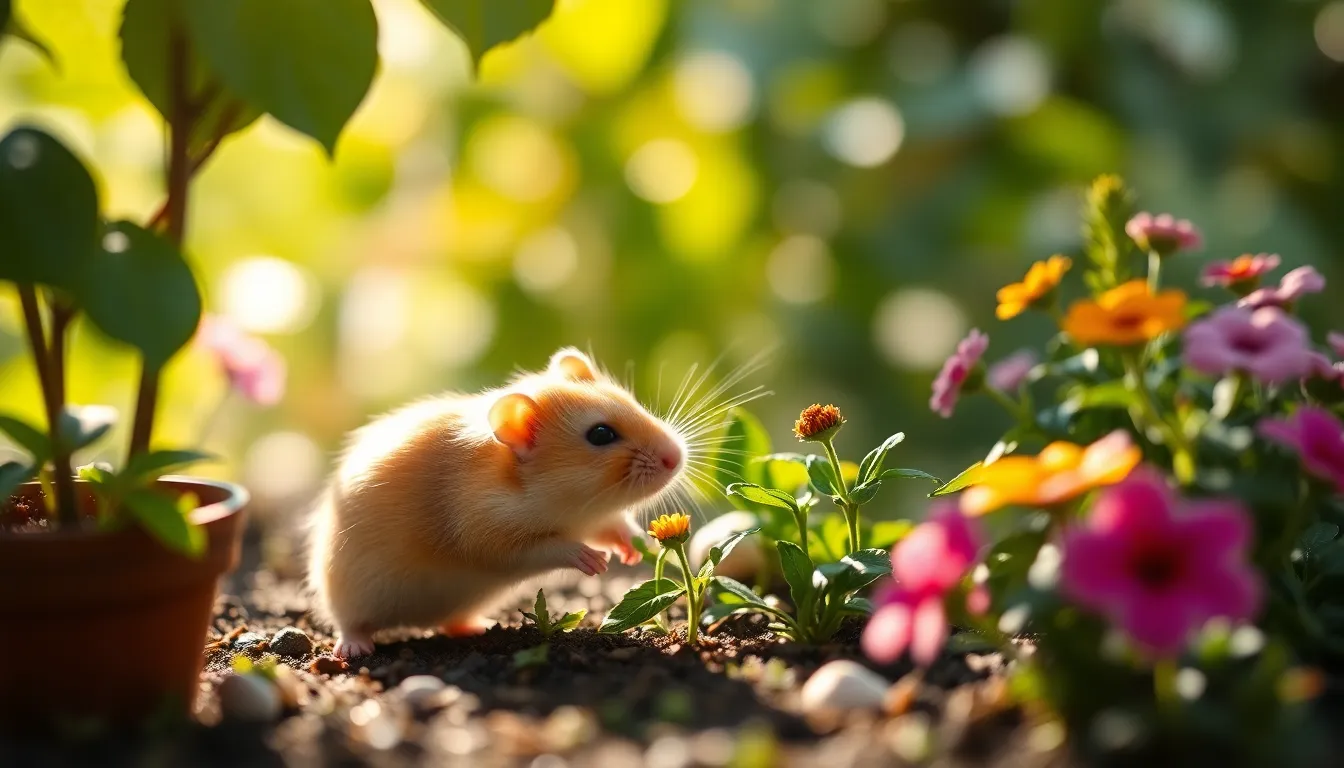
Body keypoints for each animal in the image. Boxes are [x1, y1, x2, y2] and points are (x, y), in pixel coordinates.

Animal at [306, 347, 690, 658]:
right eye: (600, 434)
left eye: (632, 402)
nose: (677, 457)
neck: (565, 502)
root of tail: (416, 622)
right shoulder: (487, 536)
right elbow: (547, 547)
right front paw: (594, 561)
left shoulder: (593, 517)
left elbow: (615, 526)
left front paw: (633, 550)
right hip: (346, 593)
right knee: (349, 623)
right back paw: (355, 648)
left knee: (451, 622)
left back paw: (478, 626)